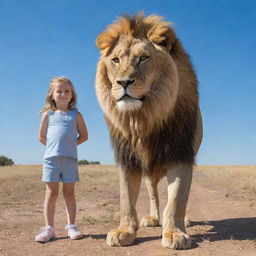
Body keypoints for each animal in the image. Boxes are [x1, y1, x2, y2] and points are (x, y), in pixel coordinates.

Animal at [95, 13, 203, 249]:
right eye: (115, 60)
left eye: (143, 58)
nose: (123, 82)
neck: (143, 118)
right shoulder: (128, 158)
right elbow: (126, 199)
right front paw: (124, 231)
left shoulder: (181, 154)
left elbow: (177, 199)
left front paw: (175, 233)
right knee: (153, 194)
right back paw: (153, 218)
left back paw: (185, 220)